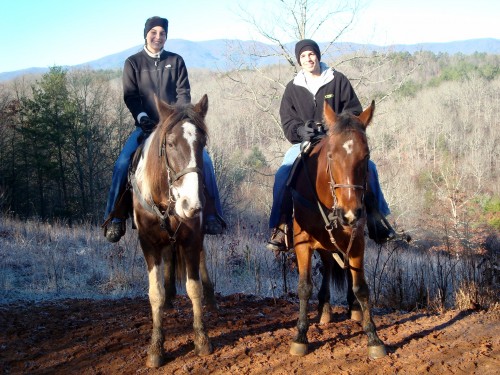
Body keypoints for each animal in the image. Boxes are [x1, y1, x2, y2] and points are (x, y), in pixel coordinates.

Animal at [131, 95, 215, 368]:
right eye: (169, 143)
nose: (192, 204)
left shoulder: (192, 239)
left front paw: (201, 339)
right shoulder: (148, 244)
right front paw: (156, 347)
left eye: (202, 143)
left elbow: (194, 288)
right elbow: (155, 293)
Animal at [290, 101, 386, 360]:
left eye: (366, 155)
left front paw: (373, 337)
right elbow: (304, 287)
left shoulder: (357, 240)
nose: (350, 212)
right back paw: (324, 309)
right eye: (331, 155)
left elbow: (361, 287)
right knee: (327, 266)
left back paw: (351, 309)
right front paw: (300, 336)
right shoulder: (302, 242)